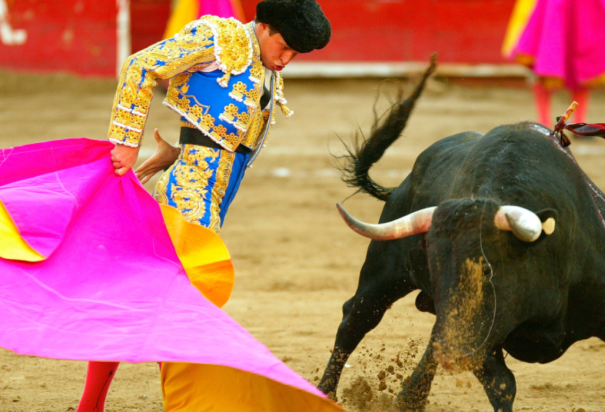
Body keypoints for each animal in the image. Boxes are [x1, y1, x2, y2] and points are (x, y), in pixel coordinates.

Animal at [316, 65, 604, 412]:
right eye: (436, 271)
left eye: (488, 270)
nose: (455, 353)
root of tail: (402, 185)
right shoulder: (482, 335)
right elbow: (502, 384)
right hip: (384, 273)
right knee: (356, 318)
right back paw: (326, 392)